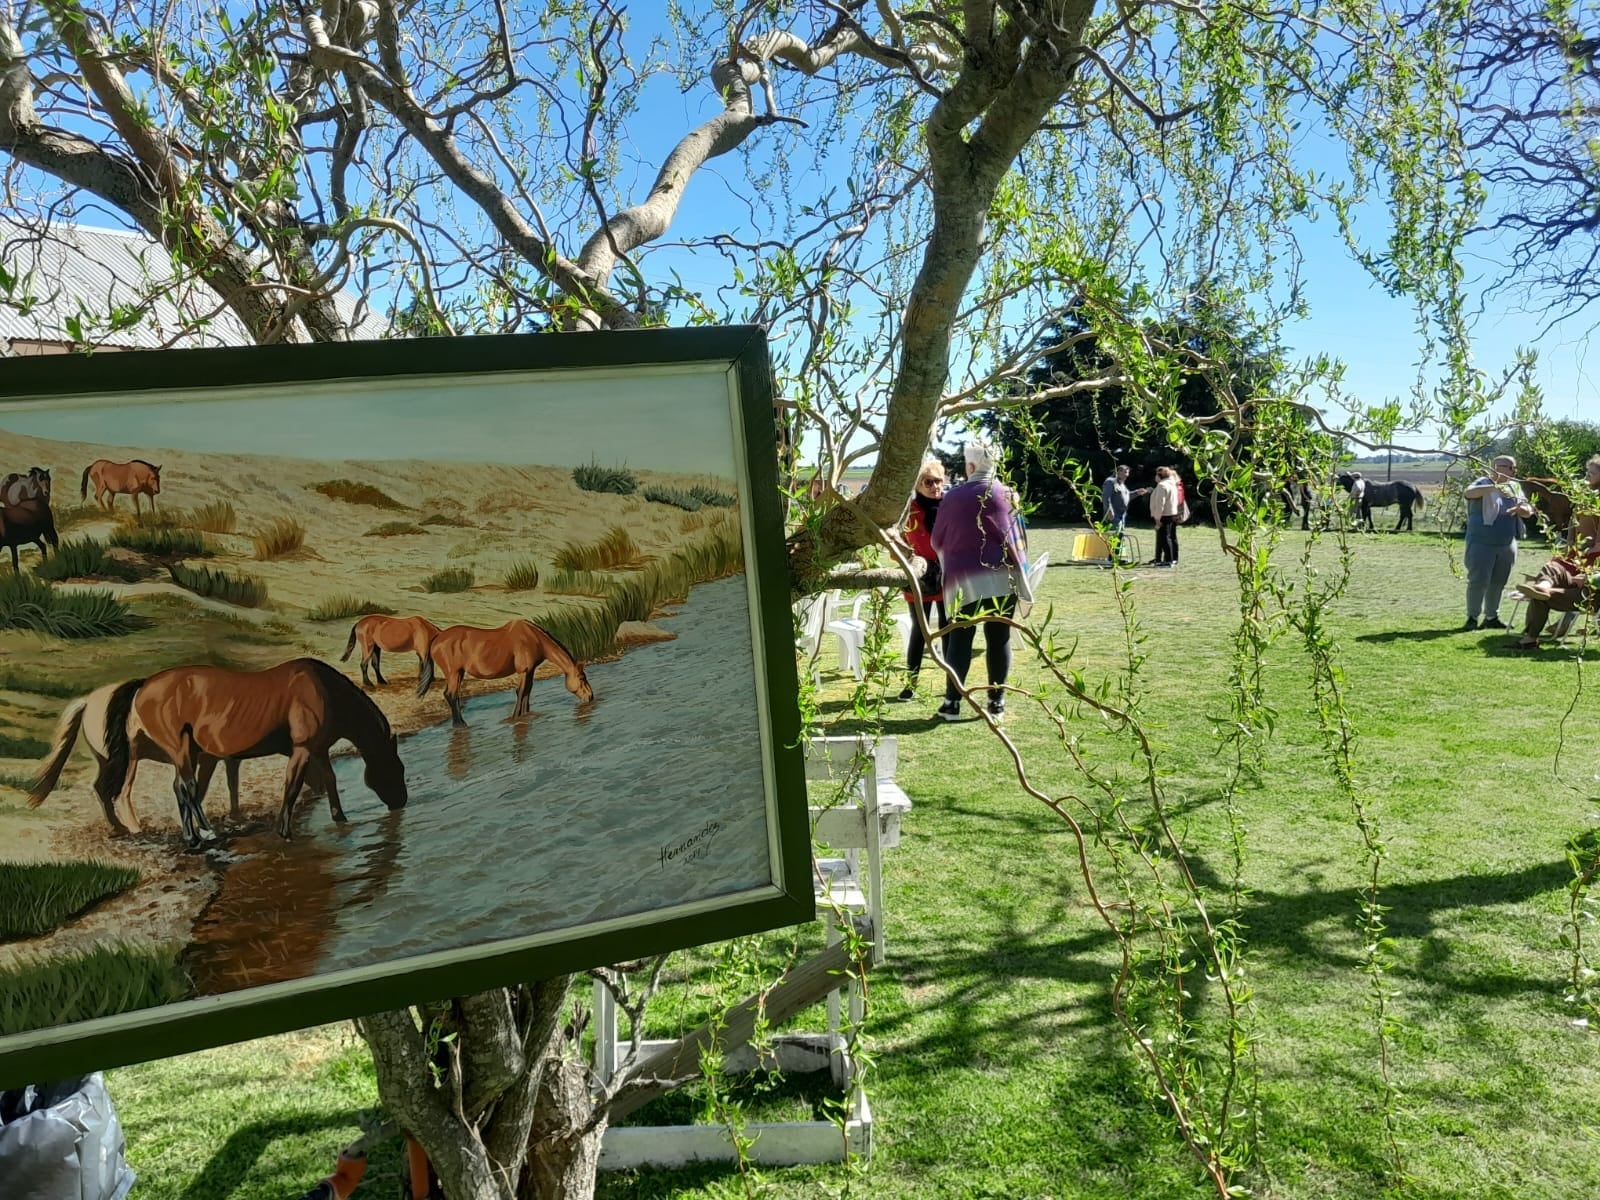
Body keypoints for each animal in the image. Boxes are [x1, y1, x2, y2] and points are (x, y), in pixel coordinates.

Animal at [108, 659, 403, 844]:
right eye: (398, 768)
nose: (401, 801)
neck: (324, 690)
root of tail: (143, 685)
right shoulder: (302, 750)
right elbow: (292, 786)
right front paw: (284, 831)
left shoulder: (318, 750)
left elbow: (330, 780)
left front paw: (340, 817)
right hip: (179, 749)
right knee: (187, 787)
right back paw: (204, 833)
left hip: (188, 752)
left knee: (181, 788)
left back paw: (192, 836)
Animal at [419, 620, 595, 723]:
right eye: (581, 678)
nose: (590, 696)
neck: (534, 638)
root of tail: (437, 638)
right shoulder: (524, 671)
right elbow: (521, 691)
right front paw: (515, 717)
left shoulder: (530, 670)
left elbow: (527, 691)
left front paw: (525, 714)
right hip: (454, 673)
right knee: (451, 695)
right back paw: (461, 724)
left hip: (459, 673)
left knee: (453, 696)